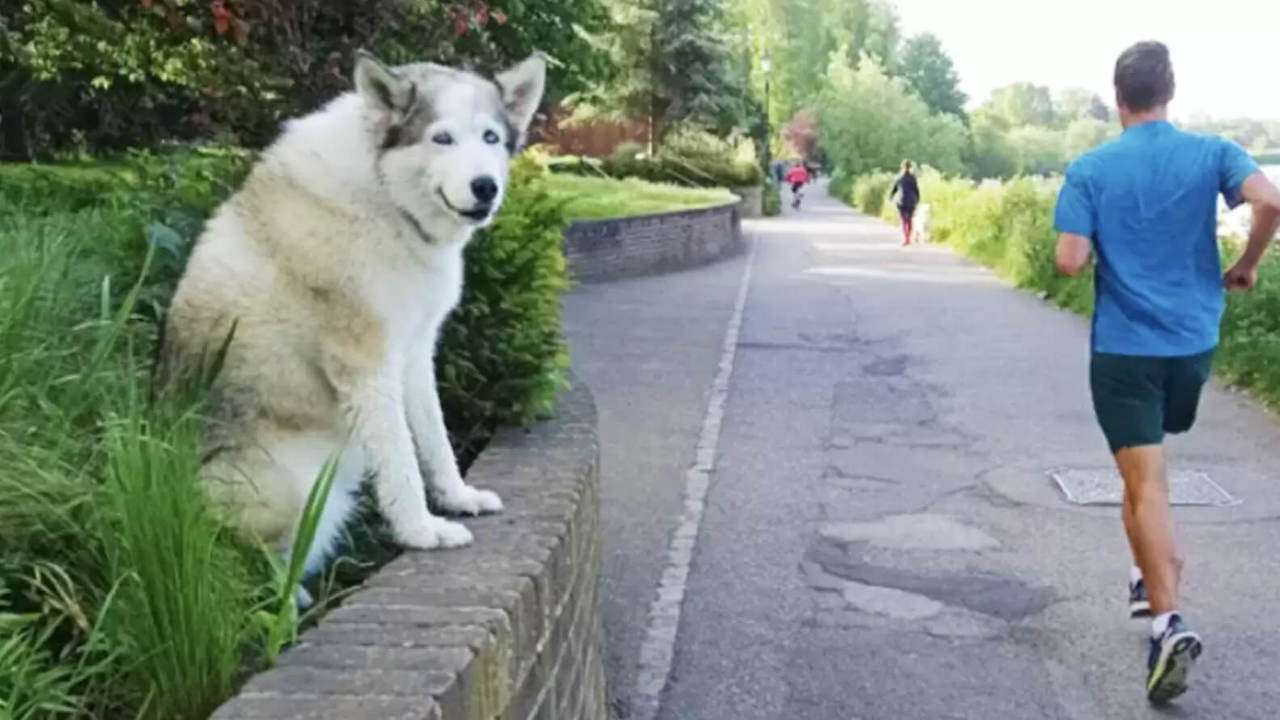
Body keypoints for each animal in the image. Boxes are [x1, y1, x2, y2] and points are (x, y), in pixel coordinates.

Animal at [160, 50, 545, 573]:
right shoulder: (366, 363)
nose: (485, 187)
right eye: (441, 137)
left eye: (490, 137)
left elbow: (435, 439)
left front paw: (457, 497)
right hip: (298, 492)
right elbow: (401, 461)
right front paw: (422, 530)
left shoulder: (415, 353)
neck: (387, 199)